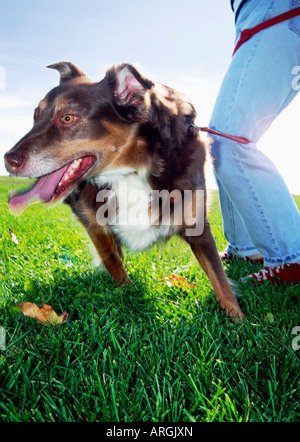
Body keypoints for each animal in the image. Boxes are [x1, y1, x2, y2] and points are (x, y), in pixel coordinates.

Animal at [3, 61, 243, 318]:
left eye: (67, 118)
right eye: (35, 116)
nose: (8, 161)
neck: (132, 170)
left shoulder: (196, 222)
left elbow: (219, 278)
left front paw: (238, 319)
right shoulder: (94, 224)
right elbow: (113, 261)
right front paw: (125, 291)